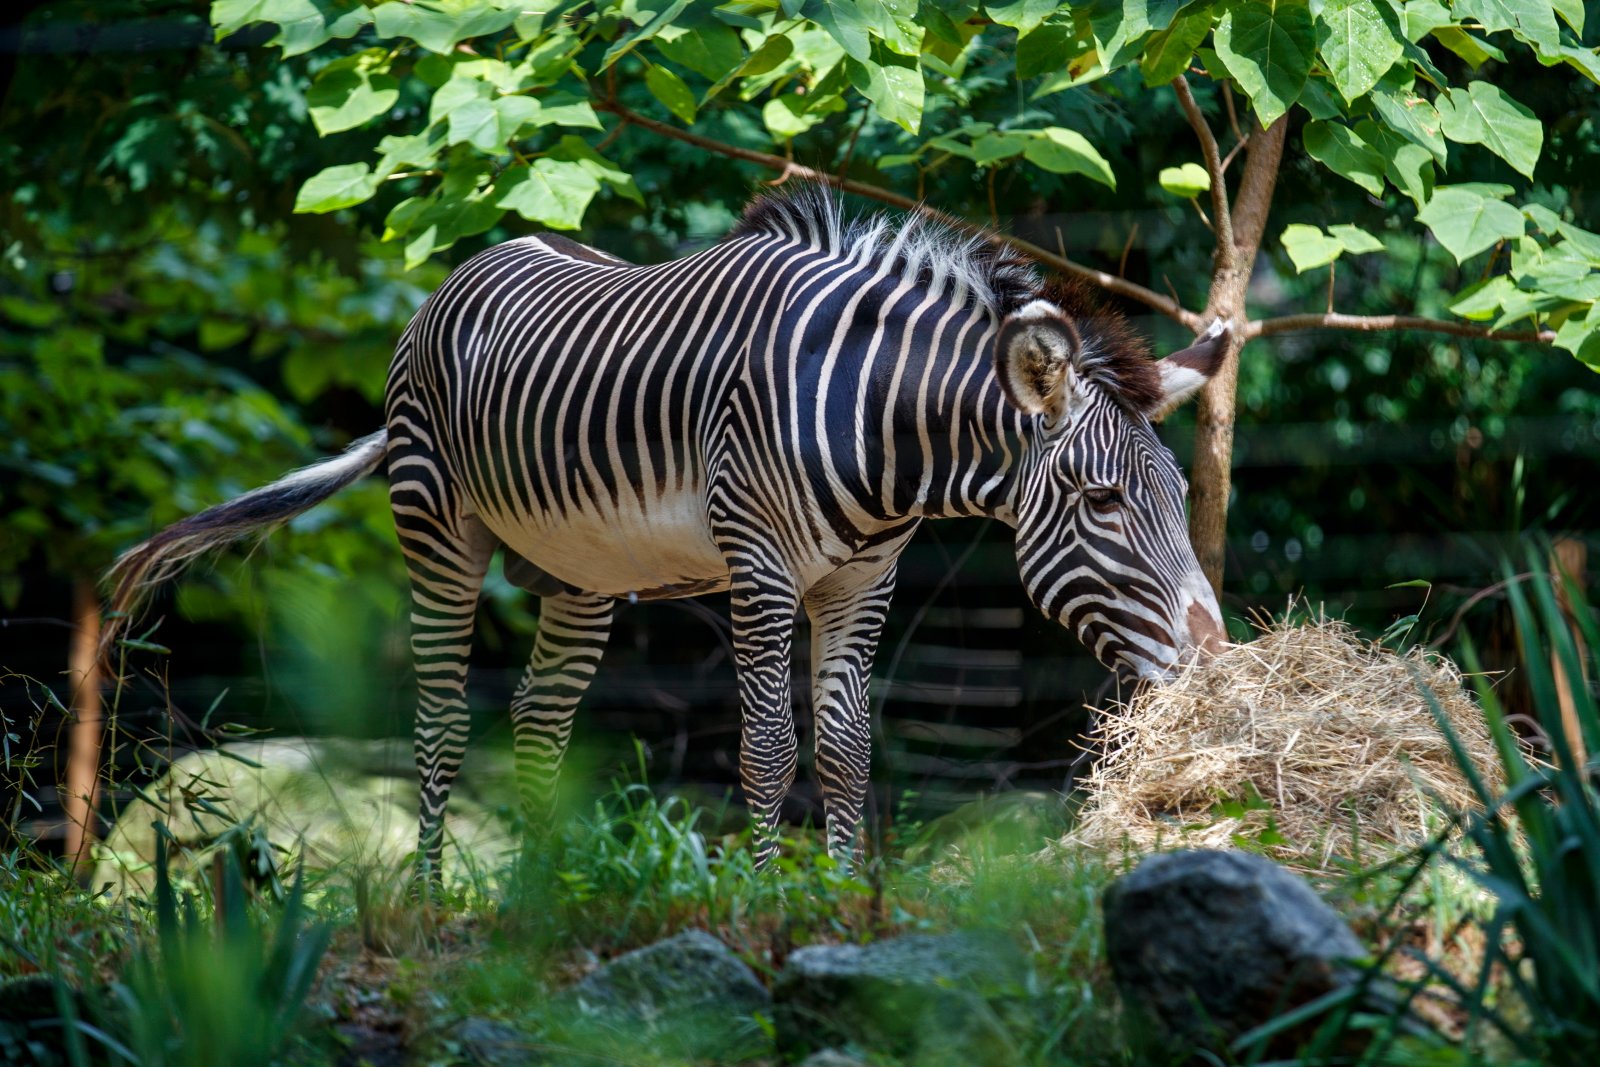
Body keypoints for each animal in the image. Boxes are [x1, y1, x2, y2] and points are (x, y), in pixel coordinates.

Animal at [109, 187, 1222, 883]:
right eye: (1102, 503)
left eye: (1180, 492)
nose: (1213, 659)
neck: (879, 424)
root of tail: (483, 256)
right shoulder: (760, 567)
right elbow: (771, 748)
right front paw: (772, 899)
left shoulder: (863, 581)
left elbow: (849, 750)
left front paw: (845, 899)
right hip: (436, 527)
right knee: (439, 719)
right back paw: (427, 903)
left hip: (579, 570)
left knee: (539, 720)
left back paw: (536, 904)